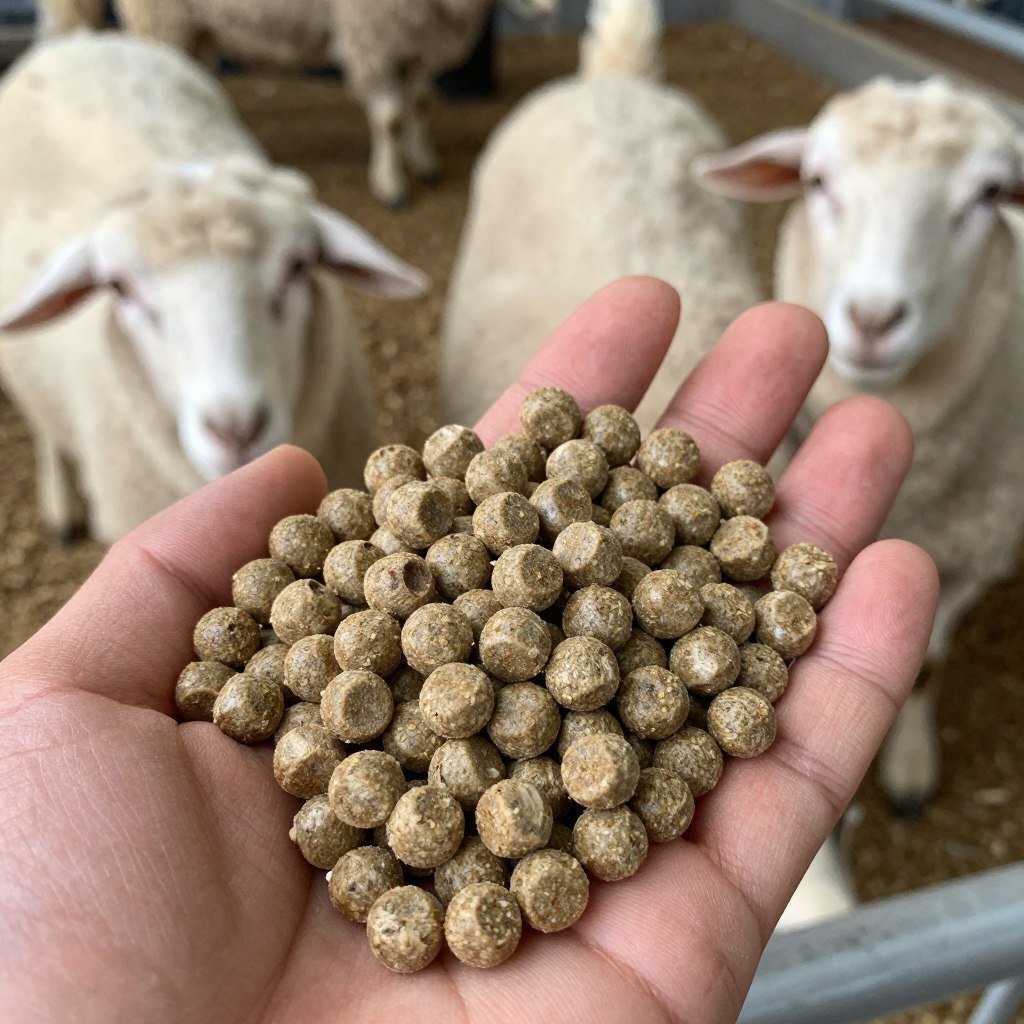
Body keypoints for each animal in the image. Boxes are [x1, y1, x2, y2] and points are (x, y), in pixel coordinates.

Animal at [0, 32, 427, 545]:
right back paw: (62, 508)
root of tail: (86, 40)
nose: (236, 431)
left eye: (297, 266)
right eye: (119, 286)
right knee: (46, 430)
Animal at [37, 0, 557, 208]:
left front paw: (424, 162)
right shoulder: (373, 34)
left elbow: (421, 104)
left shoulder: (411, 38)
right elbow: (389, 117)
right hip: (163, 18)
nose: (550, 10)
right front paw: (392, 185)